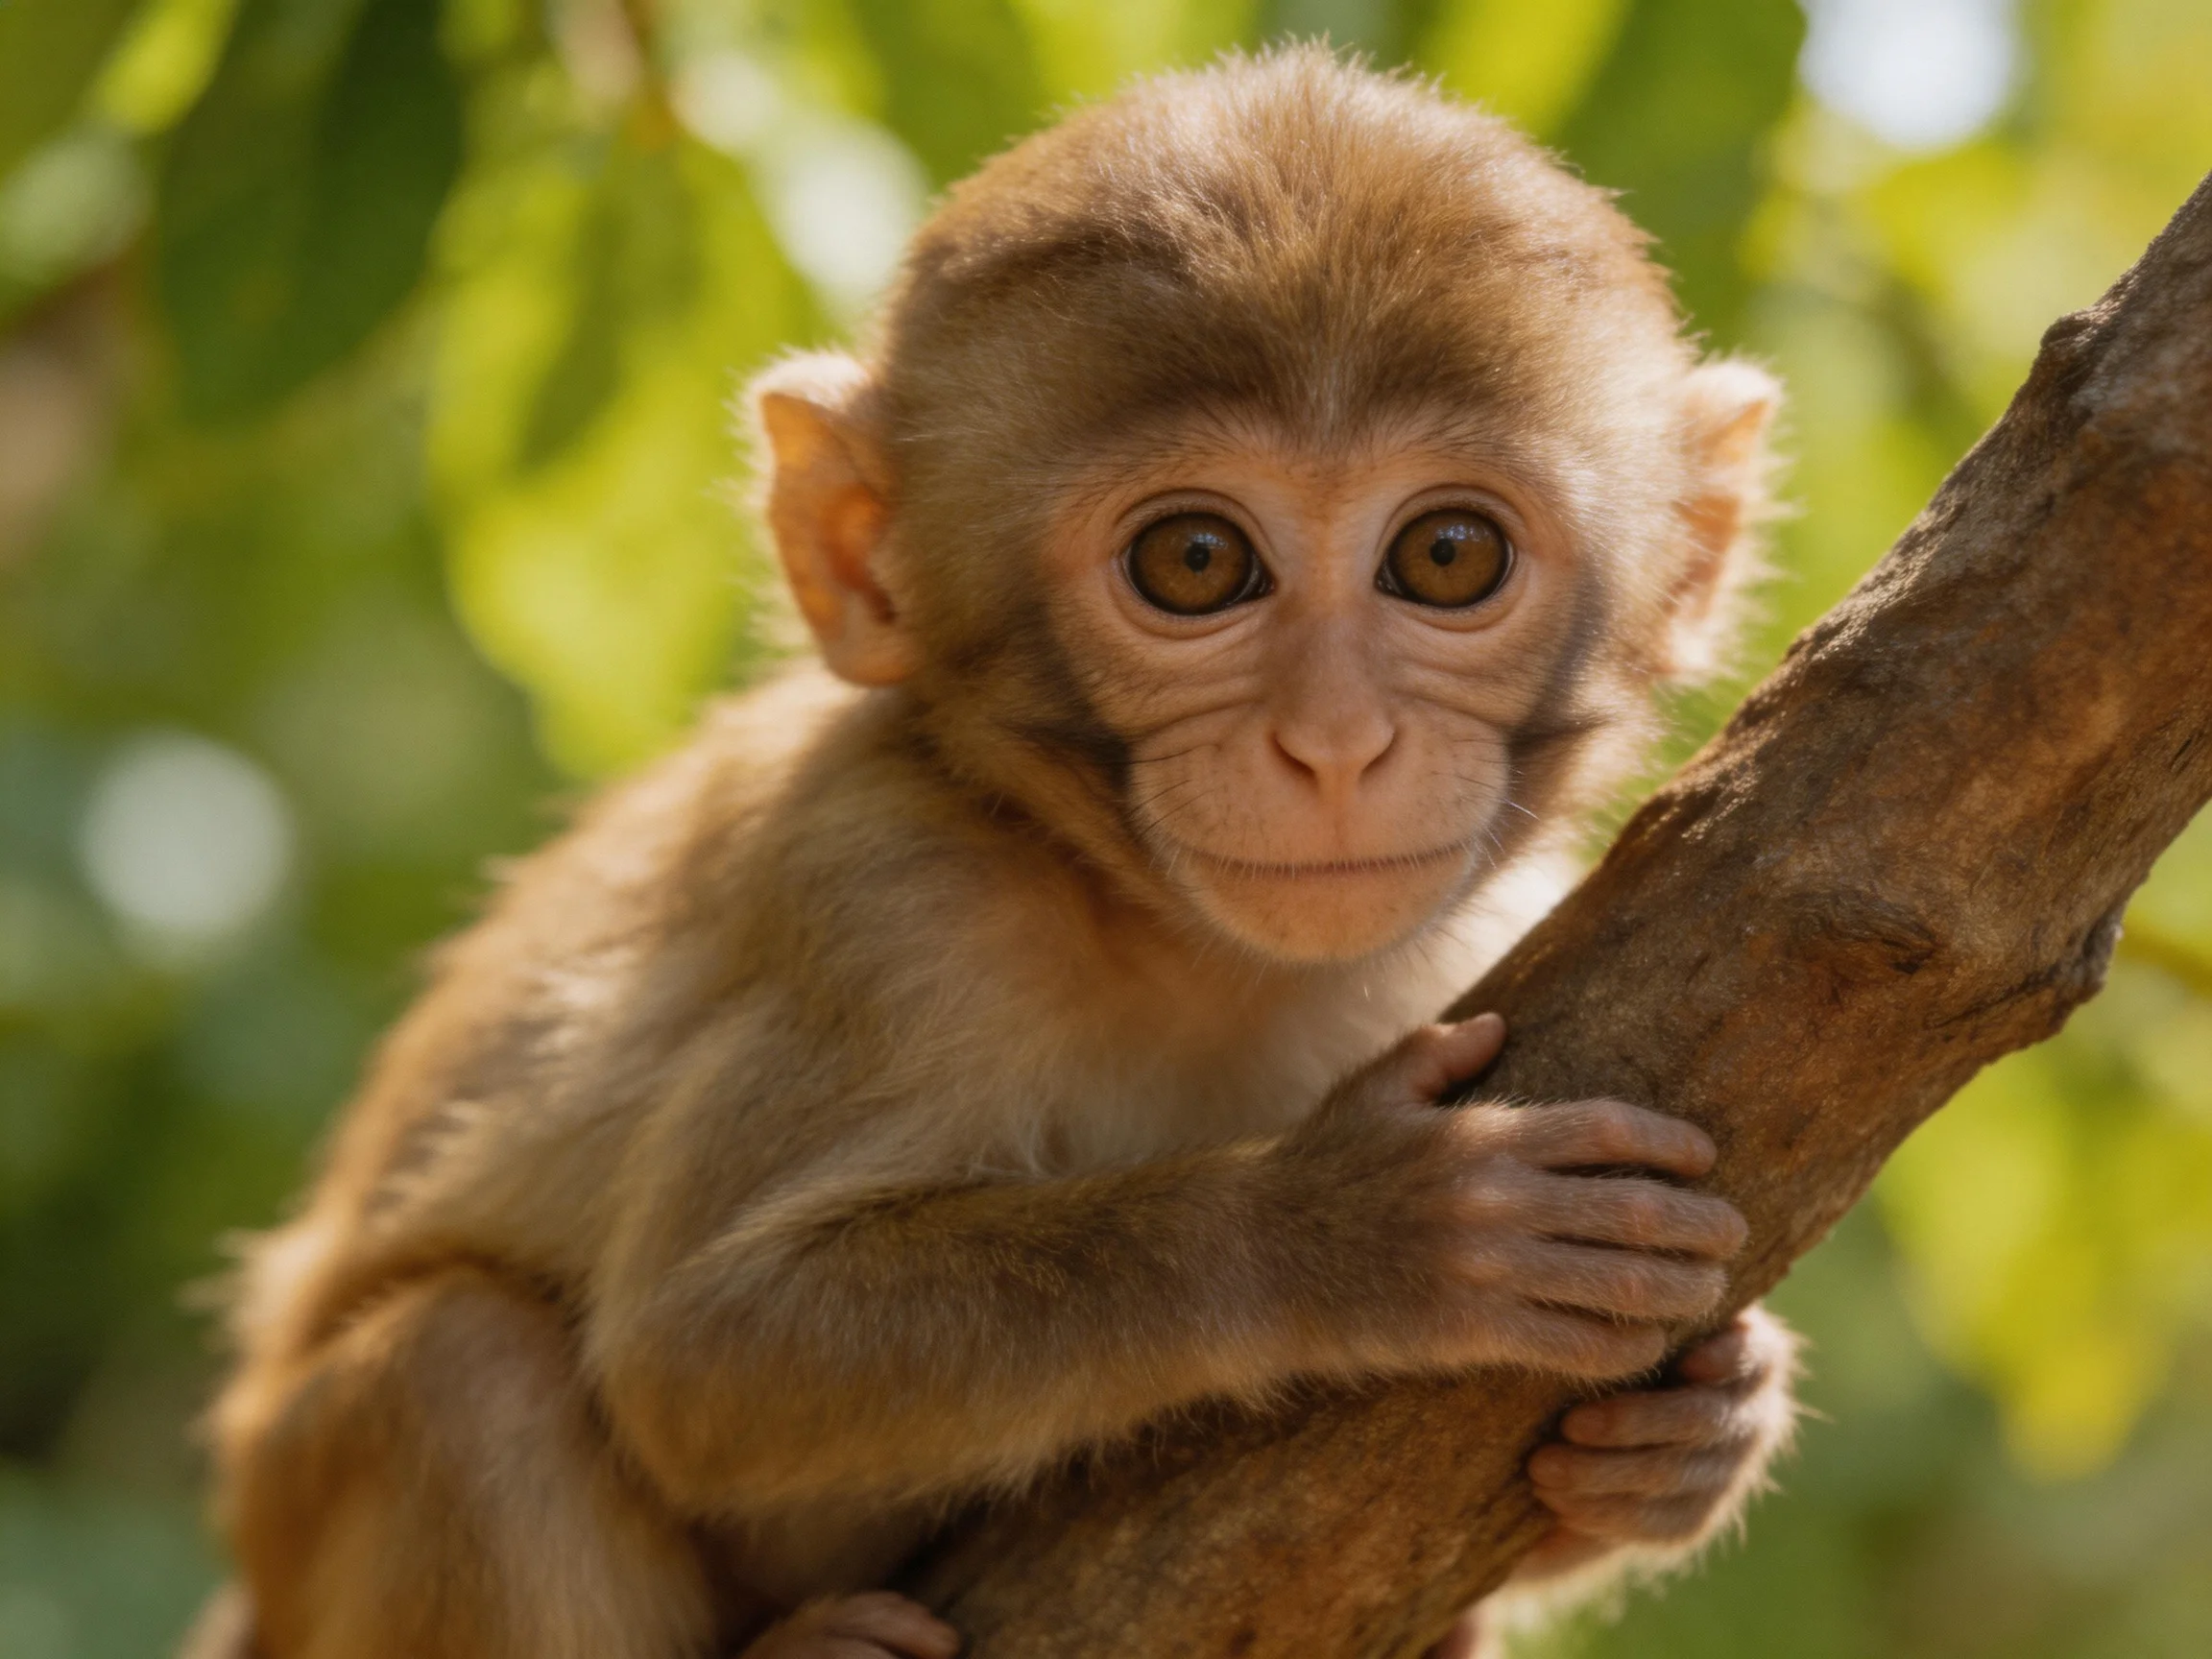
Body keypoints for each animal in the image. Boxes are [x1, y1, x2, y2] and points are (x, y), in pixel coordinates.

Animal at [185, 47, 1797, 1659]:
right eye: (1196, 563)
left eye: (1447, 556)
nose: (1336, 744)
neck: (1177, 944)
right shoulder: (883, 900)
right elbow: (700, 1353)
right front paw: (1351, 1232)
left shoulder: (1482, 923)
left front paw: (1700, 1430)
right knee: (462, 1375)